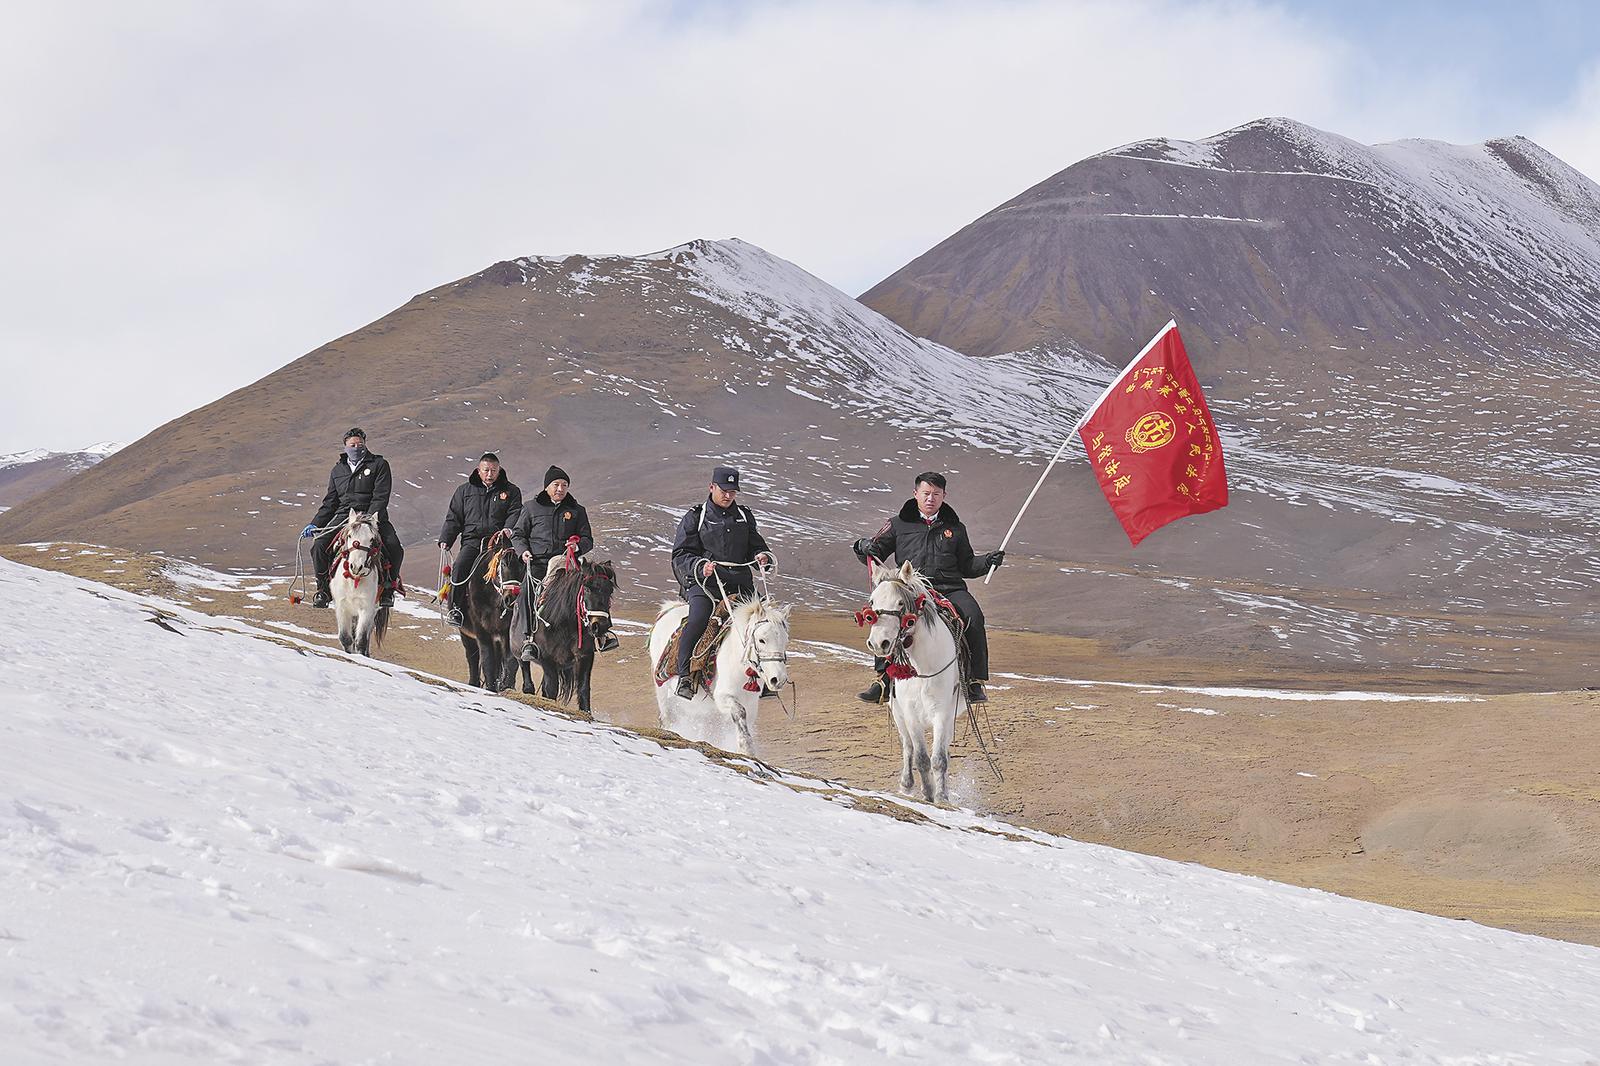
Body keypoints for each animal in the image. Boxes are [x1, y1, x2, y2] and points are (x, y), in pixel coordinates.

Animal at [324, 508, 387, 653]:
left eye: (372, 540)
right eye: (349, 536)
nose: (357, 567)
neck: (354, 581)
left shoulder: (366, 608)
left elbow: (361, 640)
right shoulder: (342, 607)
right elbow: (345, 638)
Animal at [508, 557, 614, 713]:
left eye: (610, 590)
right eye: (587, 588)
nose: (600, 626)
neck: (564, 624)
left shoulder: (585, 657)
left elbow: (583, 689)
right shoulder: (548, 660)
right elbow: (551, 690)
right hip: (520, 656)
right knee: (528, 681)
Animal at [649, 589, 793, 755]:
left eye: (785, 640)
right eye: (762, 640)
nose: (778, 679)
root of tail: (668, 609)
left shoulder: (751, 702)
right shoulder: (723, 696)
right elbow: (739, 712)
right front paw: (746, 748)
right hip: (661, 687)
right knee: (666, 715)